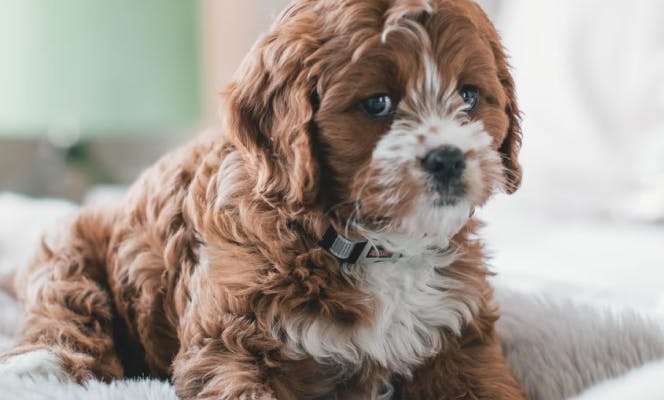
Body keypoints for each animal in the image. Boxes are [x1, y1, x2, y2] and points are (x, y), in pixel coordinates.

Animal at [2, 0, 528, 400]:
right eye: (377, 103)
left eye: (469, 95)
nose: (448, 159)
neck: (367, 244)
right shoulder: (230, 342)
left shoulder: (459, 337)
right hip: (71, 245)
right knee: (64, 303)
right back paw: (39, 366)